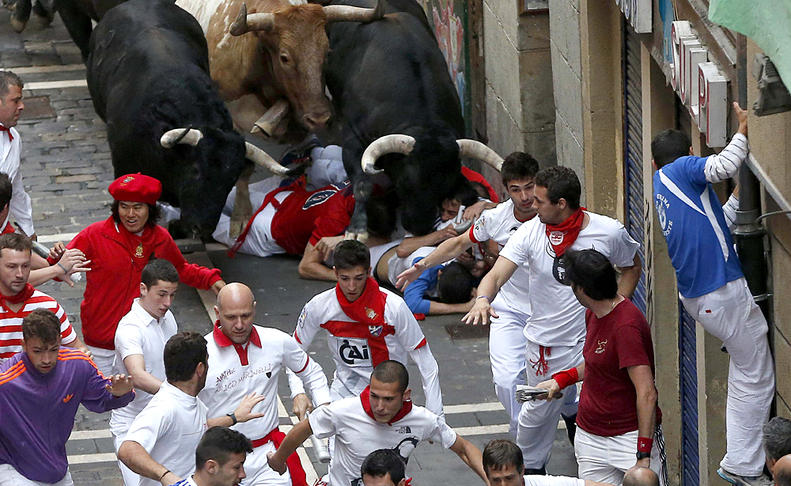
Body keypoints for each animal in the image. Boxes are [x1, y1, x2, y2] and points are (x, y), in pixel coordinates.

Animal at [324, 0, 482, 237]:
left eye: (444, 188)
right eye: (405, 183)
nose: (419, 226)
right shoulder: (353, 140)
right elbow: (362, 185)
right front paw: (357, 228)